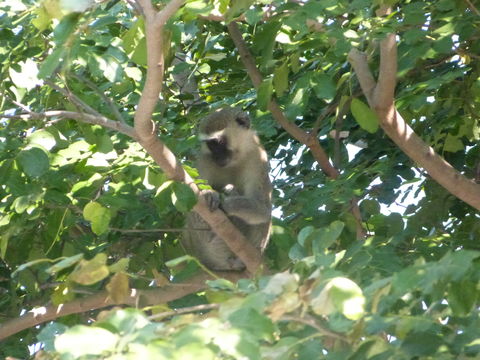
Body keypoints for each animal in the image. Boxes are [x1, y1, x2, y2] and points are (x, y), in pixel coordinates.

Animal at [182, 107, 272, 270]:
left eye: (218, 142)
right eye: (211, 145)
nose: (217, 157)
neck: (236, 158)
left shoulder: (258, 157)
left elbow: (263, 209)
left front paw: (226, 204)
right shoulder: (205, 160)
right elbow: (191, 203)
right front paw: (210, 194)